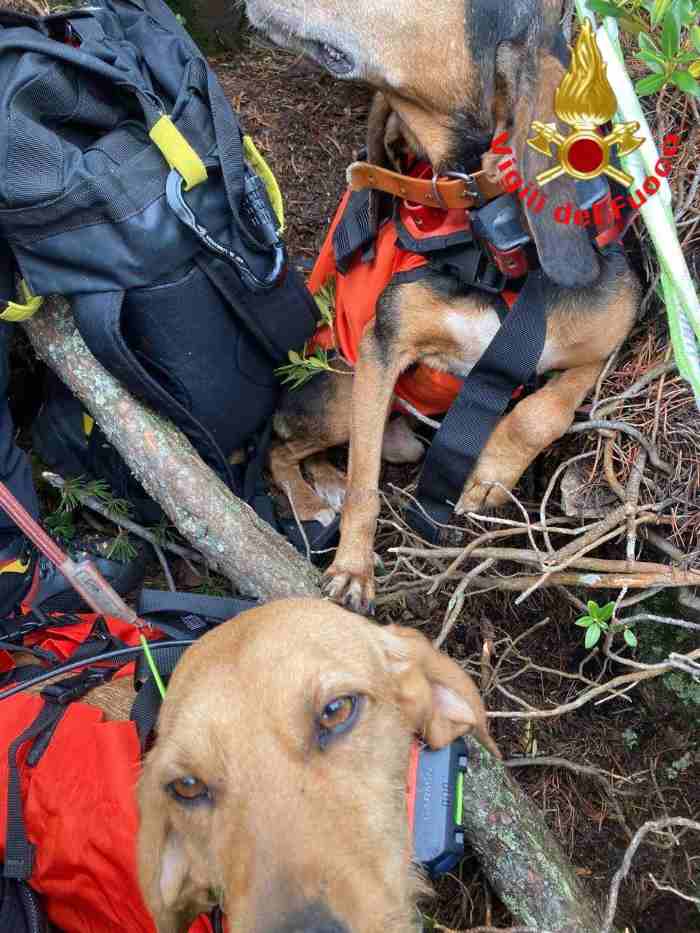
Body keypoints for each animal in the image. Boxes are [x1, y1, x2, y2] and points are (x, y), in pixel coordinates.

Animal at [252, 0, 640, 616]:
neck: (492, 256)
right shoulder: (381, 350)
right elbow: (364, 485)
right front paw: (354, 571)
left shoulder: (611, 335)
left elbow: (545, 411)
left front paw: (490, 472)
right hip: (342, 389)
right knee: (283, 445)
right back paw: (312, 501)